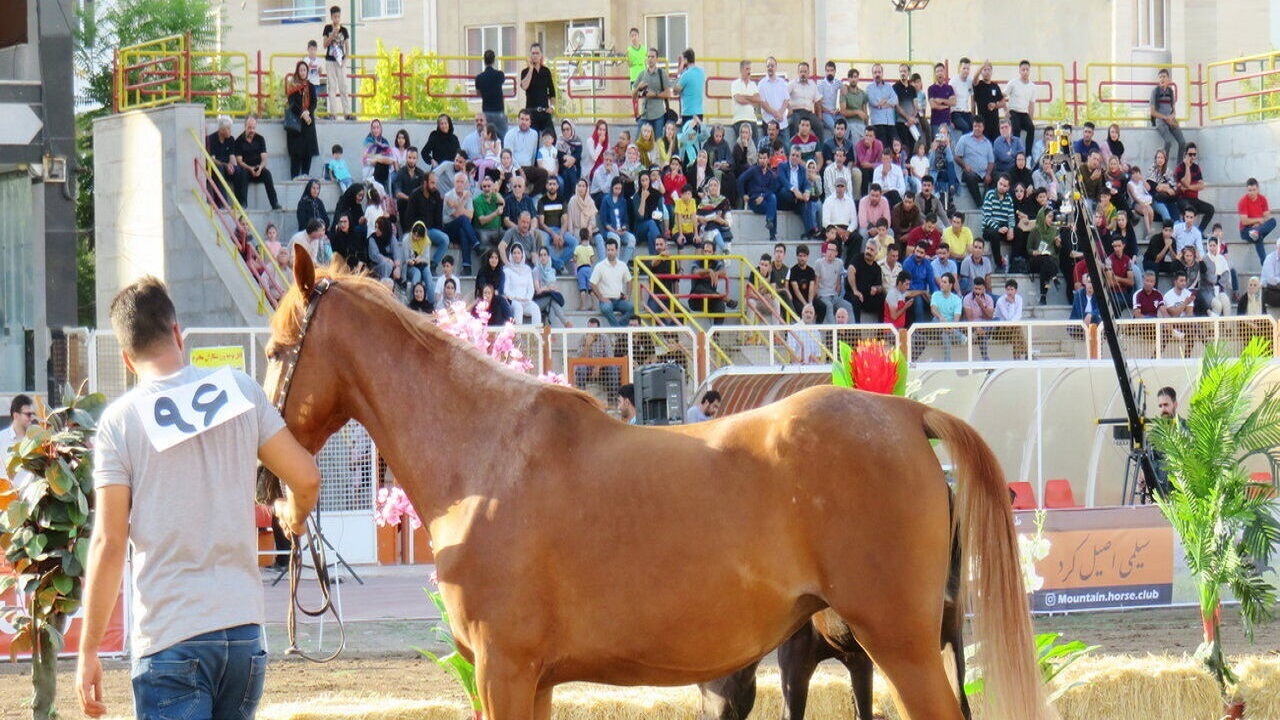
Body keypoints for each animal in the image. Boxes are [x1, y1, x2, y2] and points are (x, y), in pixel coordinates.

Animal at [264, 248, 1054, 717]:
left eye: (275, 352)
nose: (269, 489)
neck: (485, 457)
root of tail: (903, 411)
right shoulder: (533, 679)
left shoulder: (503, 670)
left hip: (901, 645)